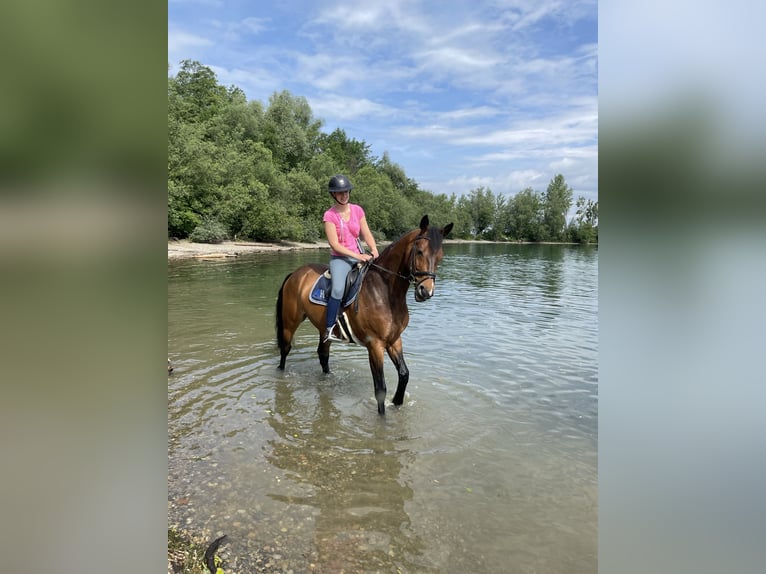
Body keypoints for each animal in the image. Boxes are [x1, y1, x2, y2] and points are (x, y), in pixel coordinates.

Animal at [278, 216, 452, 414]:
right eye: (420, 252)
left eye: (440, 256)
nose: (426, 291)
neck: (385, 291)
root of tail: (297, 273)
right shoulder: (374, 345)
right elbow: (380, 388)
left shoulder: (394, 340)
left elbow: (404, 374)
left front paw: (397, 402)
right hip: (290, 322)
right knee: (285, 349)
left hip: (324, 330)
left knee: (323, 355)